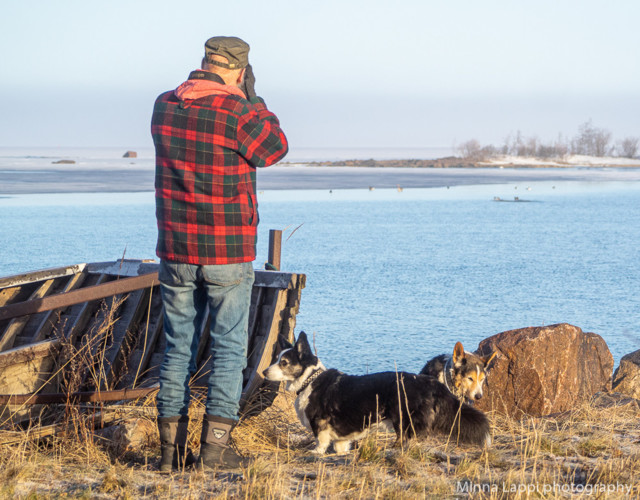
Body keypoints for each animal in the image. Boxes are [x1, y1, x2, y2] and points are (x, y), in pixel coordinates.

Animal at [262, 330, 492, 456]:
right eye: (278, 359)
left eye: (284, 363)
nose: (264, 372)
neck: (310, 379)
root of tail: (431, 383)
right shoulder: (342, 438)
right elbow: (340, 446)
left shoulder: (320, 425)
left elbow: (320, 441)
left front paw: (316, 452)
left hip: (403, 421)